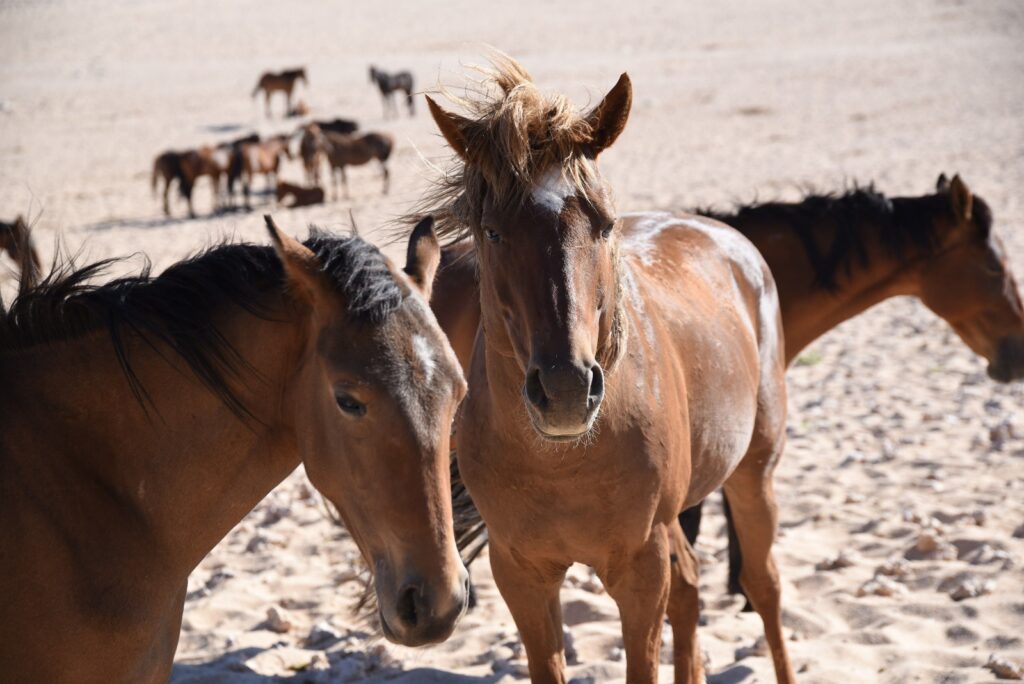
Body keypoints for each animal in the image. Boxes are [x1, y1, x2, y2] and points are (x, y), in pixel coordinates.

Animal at [419, 54, 794, 684]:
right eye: (492, 231)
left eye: (605, 223)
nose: (567, 389)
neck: (563, 462)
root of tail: (730, 239)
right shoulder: (520, 574)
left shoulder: (640, 569)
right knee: (691, 587)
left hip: (754, 471)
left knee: (763, 586)